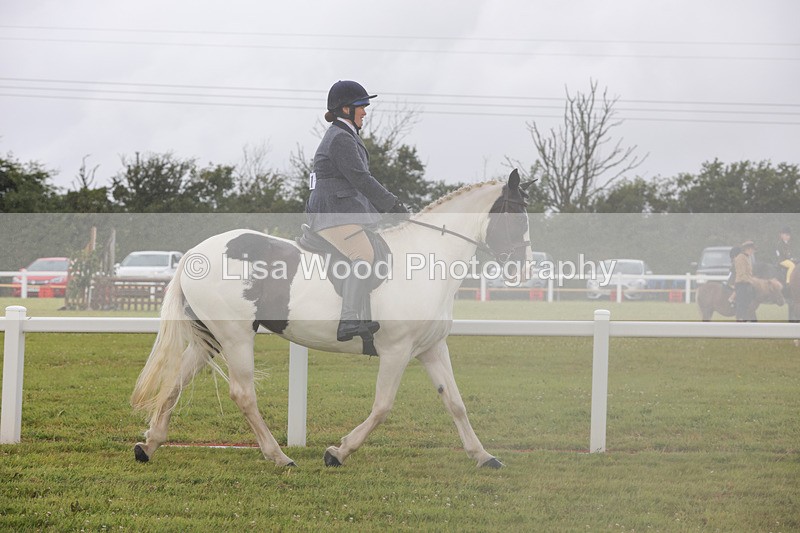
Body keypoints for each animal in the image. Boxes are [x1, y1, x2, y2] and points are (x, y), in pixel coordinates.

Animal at [131, 170, 533, 468]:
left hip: (211, 338)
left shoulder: (431, 348)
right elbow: (382, 407)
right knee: (242, 394)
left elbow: (455, 402)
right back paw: (278, 456)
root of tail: (192, 254)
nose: (521, 270)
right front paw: (338, 452)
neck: (426, 259)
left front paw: (483, 455)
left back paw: (149, 445)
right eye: (516, 216)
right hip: (235, 337)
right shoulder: (397, 350)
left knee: (176, 382)